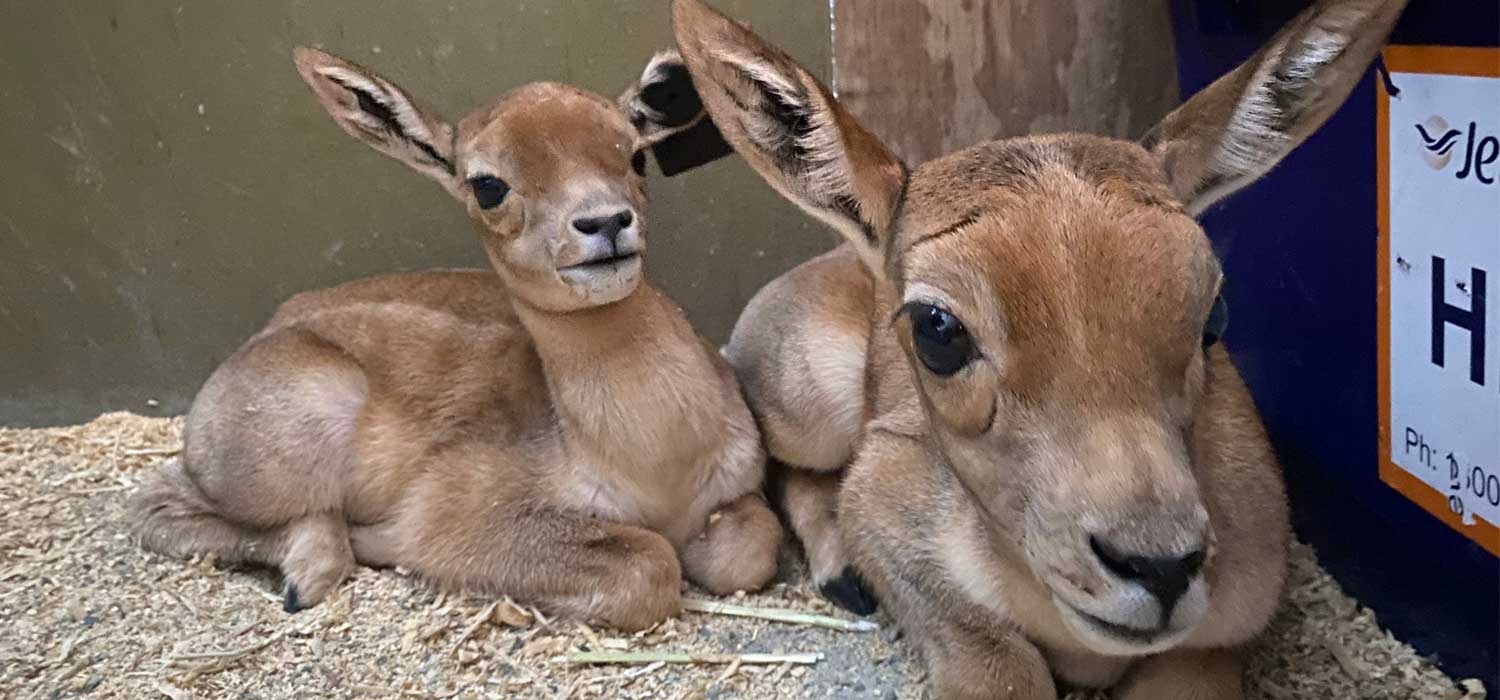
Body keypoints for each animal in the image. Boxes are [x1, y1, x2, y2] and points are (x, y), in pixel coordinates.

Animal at [129, 49, 786, 629]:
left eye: (636, 155)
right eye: (488, 185)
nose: (604, 222)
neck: (657, 464)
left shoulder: (737, 493)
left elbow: (747, 552)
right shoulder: (466, 514)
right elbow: (648, 565)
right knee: (157, 499)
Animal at [663, 0, 1410, 695]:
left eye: (1214, 311)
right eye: (937, 329)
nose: (1159, 565)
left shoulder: (1217, 640)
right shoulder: (892, 512)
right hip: (808, 399)